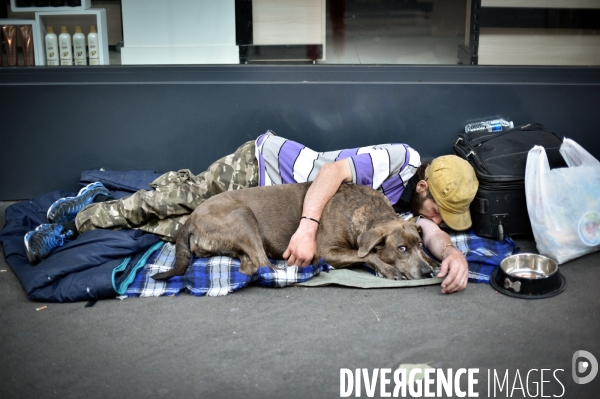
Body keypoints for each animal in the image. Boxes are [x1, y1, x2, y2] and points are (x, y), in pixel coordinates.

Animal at [150, 184, 440, 282]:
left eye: (419, 244)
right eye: (401, 249)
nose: (426, 273)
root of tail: (191, 217)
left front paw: (435, 262)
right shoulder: (328, 252)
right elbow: (367, 255)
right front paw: (389, 269)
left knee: (250, 266)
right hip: (244, 217)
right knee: (264, 265)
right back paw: (293, 273)